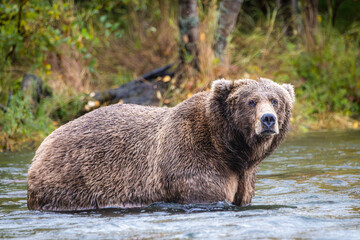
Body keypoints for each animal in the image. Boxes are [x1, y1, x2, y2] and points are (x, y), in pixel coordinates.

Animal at [26, 78, 296, 211]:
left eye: (275, 100)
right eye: (251, 101)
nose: (268, 119)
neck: (228, 149)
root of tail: (42, 145)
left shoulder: (243, 175)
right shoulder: (192, 159)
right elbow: (205, 191)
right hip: (70, 182)